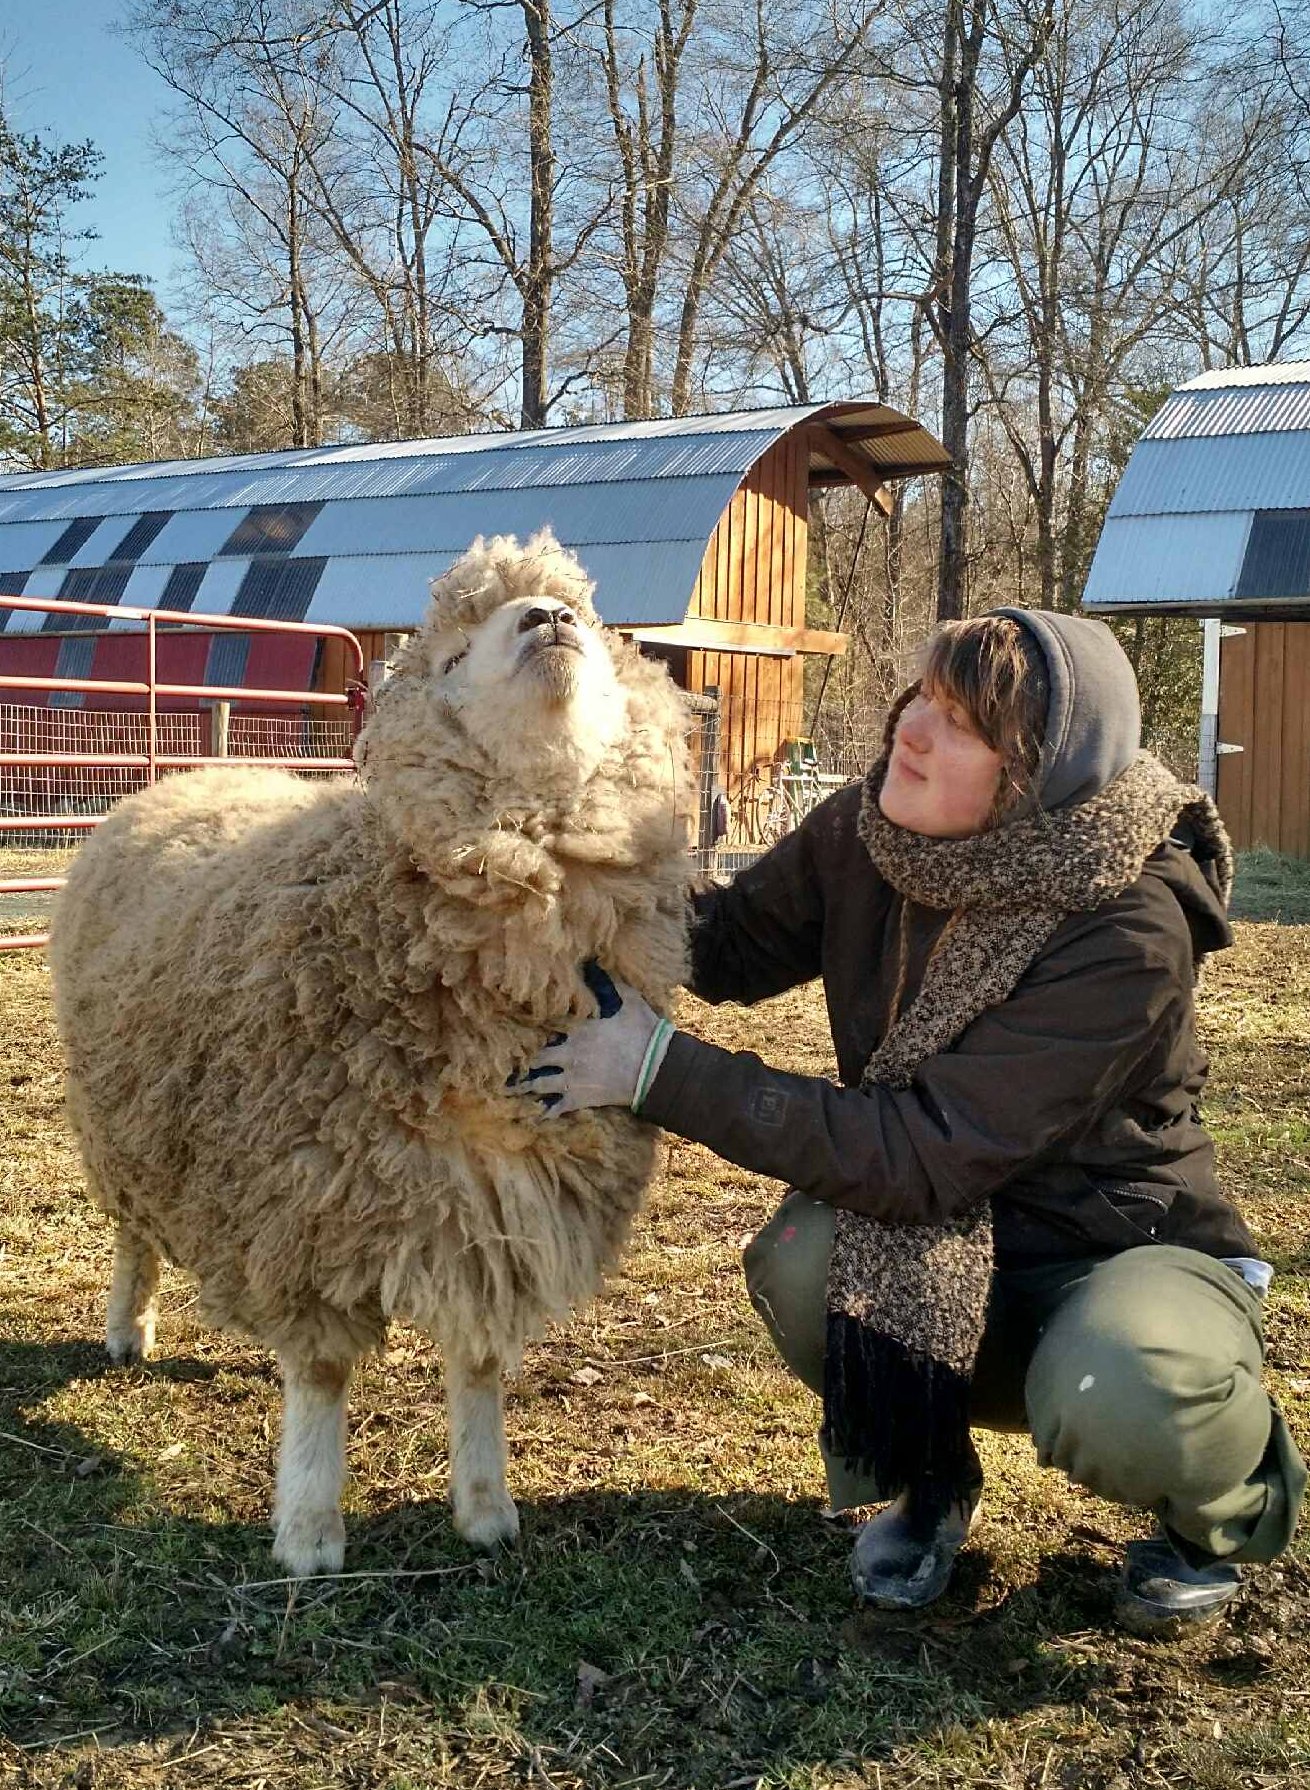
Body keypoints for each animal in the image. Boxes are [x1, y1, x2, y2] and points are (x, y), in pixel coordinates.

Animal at [49, 526, 690, 1568]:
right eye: (454, 657)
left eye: (592, 627)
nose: (549, 618)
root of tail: (185, 775)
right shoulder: (307, 1193)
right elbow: (318, 1377)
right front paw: (310, 1529)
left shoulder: (500, 1205)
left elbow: (478, 1367)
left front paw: (486, 1506)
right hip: (121, 1115)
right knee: (134, 1233)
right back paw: (126, 1327)